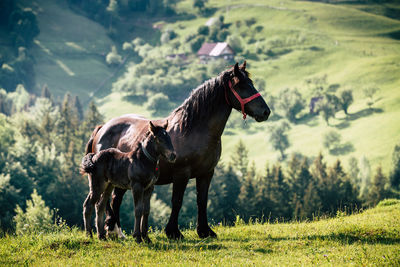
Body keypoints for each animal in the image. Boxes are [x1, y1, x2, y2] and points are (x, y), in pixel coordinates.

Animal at [86, 61, 270, 241]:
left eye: (251, 83)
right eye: (242, 86)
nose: (266, 111)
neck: (193, 130)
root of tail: (102, 129)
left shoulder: (207, 173)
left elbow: (202, 200)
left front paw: (204, 231)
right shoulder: (181, 174)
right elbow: (177, 201)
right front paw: (173, 232)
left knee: (115, 200)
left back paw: (116, 231)